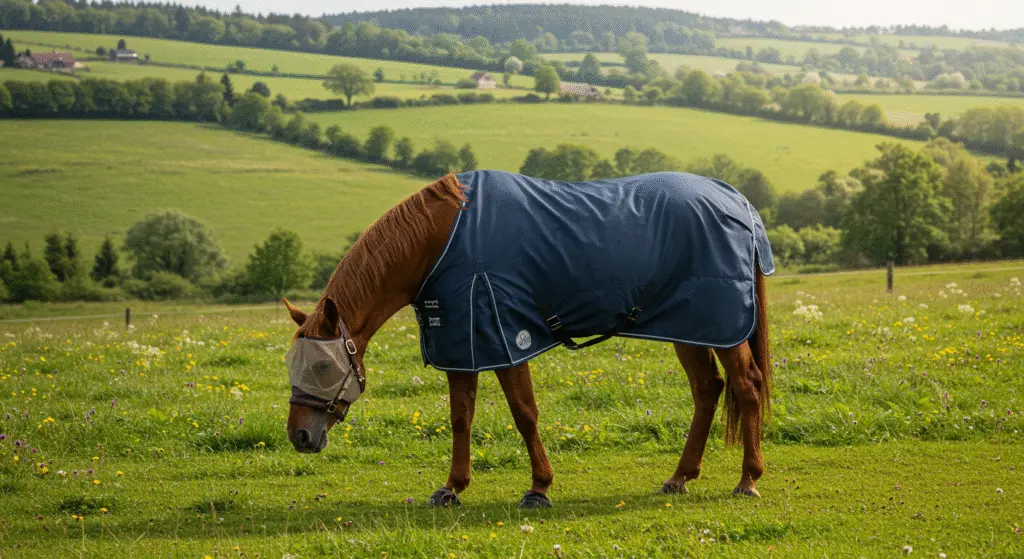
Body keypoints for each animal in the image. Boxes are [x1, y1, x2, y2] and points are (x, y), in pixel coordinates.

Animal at [283, 170, 774, 508]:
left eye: (323, 365)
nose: (299, 437)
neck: (444, 241)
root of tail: (736, 200)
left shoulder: (505, 338)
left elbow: (525, 414)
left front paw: (539, 487)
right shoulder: (463, 344)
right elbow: (461, 418)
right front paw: (452, 487)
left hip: (723, 328)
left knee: (747, 386)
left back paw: (748, 479)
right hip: (690, 327)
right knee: (707, 390)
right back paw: (679, 477)